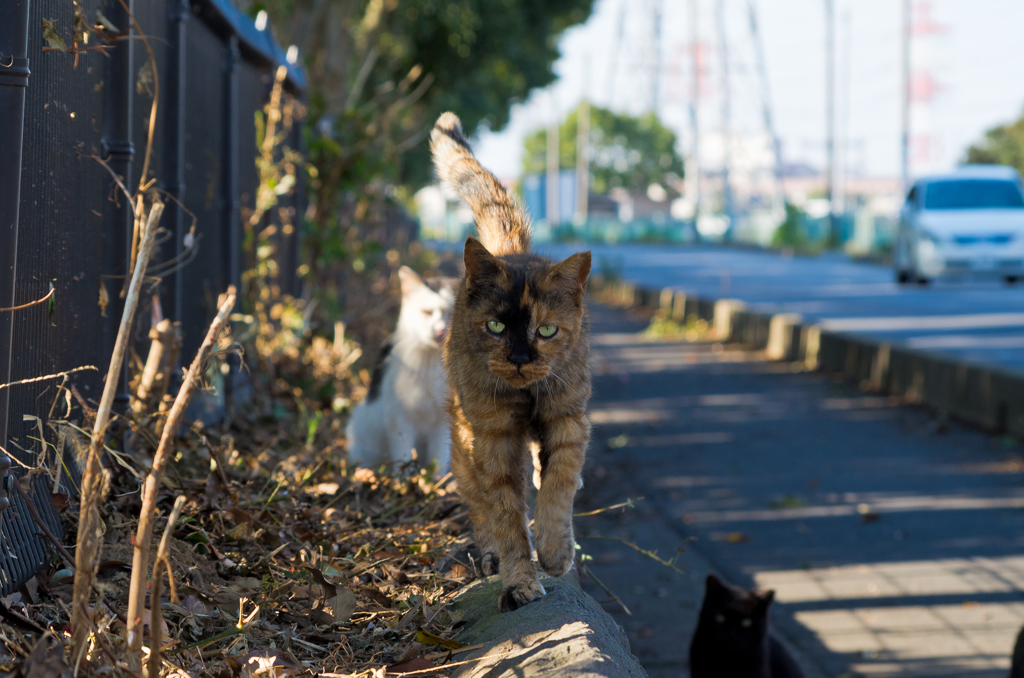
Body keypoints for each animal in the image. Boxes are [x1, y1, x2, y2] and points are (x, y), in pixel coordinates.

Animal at [346, 268, 454, 475]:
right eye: (427, 312)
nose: (440, 330)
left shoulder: (442, 423)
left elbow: (438, 460)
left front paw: (435, 482)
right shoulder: (399, 420)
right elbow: (403, 456)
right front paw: (404, 480)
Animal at [430, 114, 593, 614]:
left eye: (547, 330)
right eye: (497, 326)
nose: (520, 359)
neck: (526, 395)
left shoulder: (567, 420)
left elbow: (559, 485)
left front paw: (556, 552)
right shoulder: (496, 438)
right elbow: (506, 514)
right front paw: (519, 581)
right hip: (465, 441)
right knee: (479, 505)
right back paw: (487, 556)